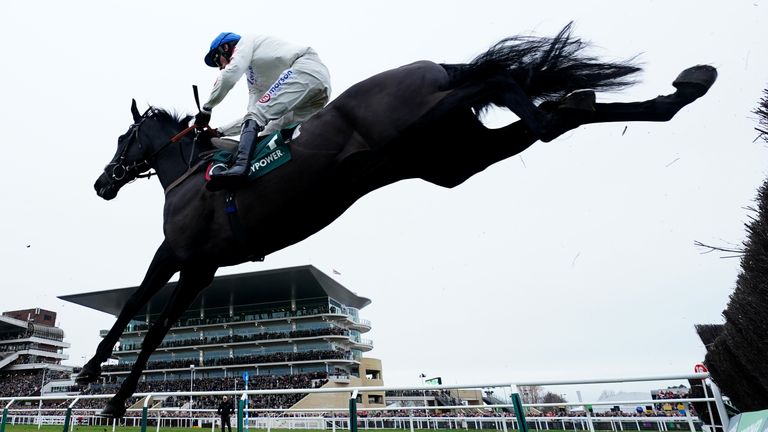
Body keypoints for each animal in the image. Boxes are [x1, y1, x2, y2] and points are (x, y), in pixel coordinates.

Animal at [81, 24, 716, 418]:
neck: (192, 174)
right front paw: (105, 387)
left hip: (423, 123)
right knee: (548, 123)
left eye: (122, 138)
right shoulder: (203, 266)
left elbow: (142, 311)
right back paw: (666, 93)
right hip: (450, 157)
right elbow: (152, 318)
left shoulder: (183, 255)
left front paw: (98, 382)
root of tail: (429, 67)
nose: (102, 184)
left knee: (496, 82)